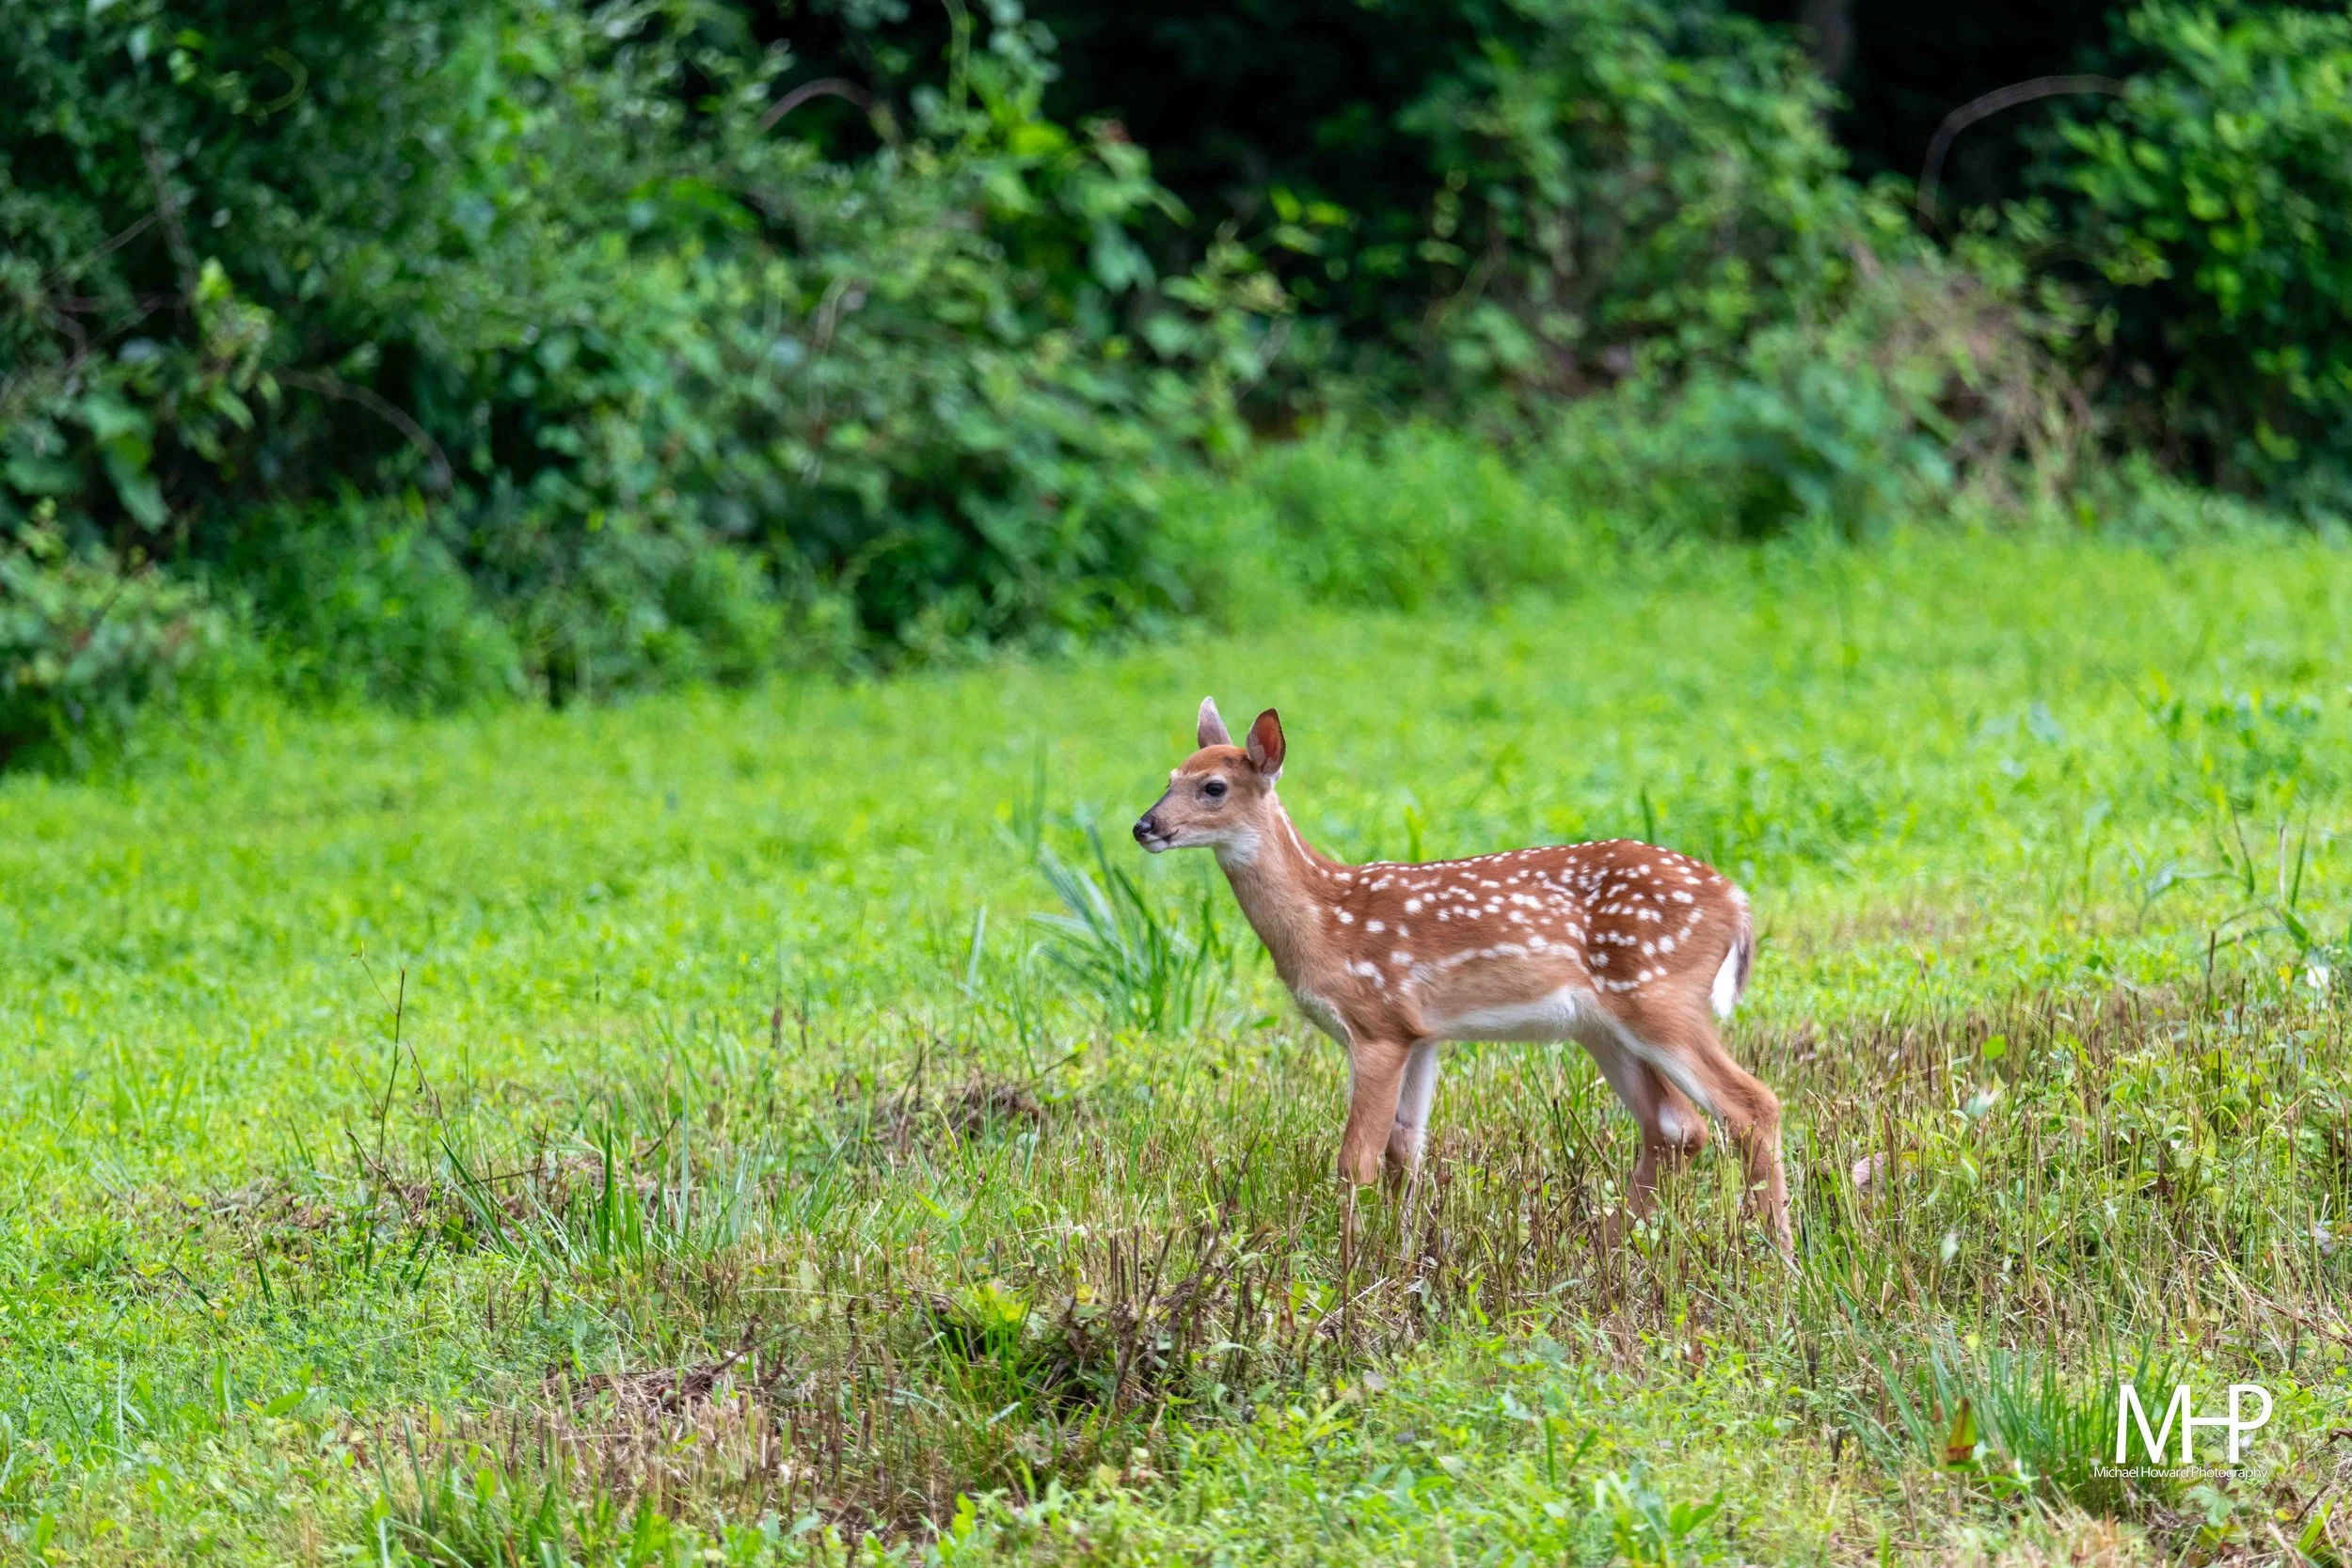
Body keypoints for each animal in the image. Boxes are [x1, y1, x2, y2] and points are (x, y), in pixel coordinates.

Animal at [1132, 698, 1790, 1253]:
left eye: (1213, 787)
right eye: (1168, 778)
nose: (1144, 827)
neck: (1324, 919)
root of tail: (1737, 902)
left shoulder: (1377, 1024)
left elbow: (1355, 1160)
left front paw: (1346, 1263)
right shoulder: (1421, 1034)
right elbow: (1404, 1150)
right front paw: (1398, 1255)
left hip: (1661, 996)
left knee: (1749, 1106)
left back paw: (1776, 1257)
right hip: (1603, 1027)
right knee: (1676, 1126)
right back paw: (1600, 1251)